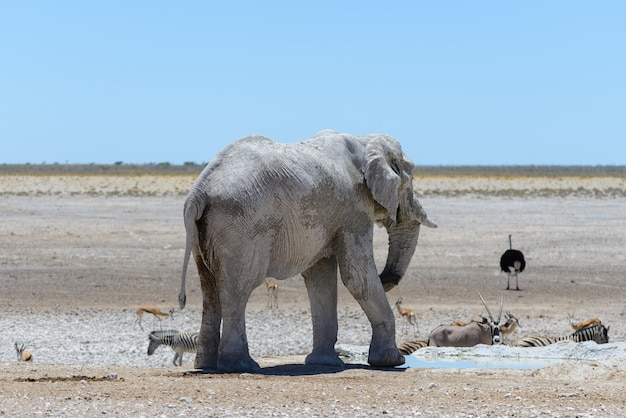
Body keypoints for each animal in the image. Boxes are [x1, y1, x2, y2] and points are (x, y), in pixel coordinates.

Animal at [176, 130, 434, 372]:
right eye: (409, 182)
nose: (385, 277)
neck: (365, 141)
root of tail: (198, 191)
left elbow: (320, 280)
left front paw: (324, 363)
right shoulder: (354, 208)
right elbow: (356, 277)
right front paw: (392, 362)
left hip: (208, 230)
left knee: (210, 289)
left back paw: (206, 365)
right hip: (241, 226)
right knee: (238, 288)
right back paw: (241, 366)